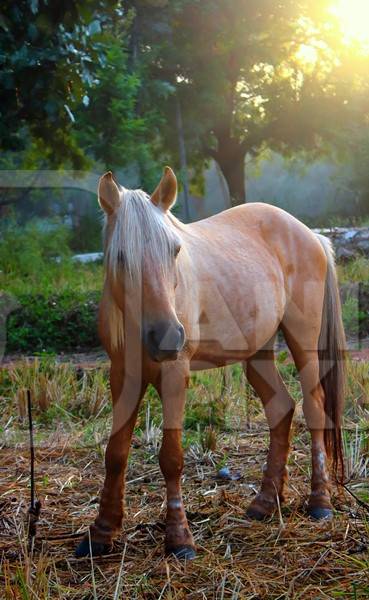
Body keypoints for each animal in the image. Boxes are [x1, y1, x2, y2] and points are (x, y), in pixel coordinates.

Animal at [75, 166, 344, 560]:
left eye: (174, 250)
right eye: (121, 256)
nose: (168, 336)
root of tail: (310, 234)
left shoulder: (175, 374)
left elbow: (171, 458)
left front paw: (179, 539)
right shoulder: (122, 375)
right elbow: (115, 454)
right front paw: (101, 533)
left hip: (304, 342)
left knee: (315, 409)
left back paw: (320, 502)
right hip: (257, 353)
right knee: (281, 408)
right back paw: (266, 503)